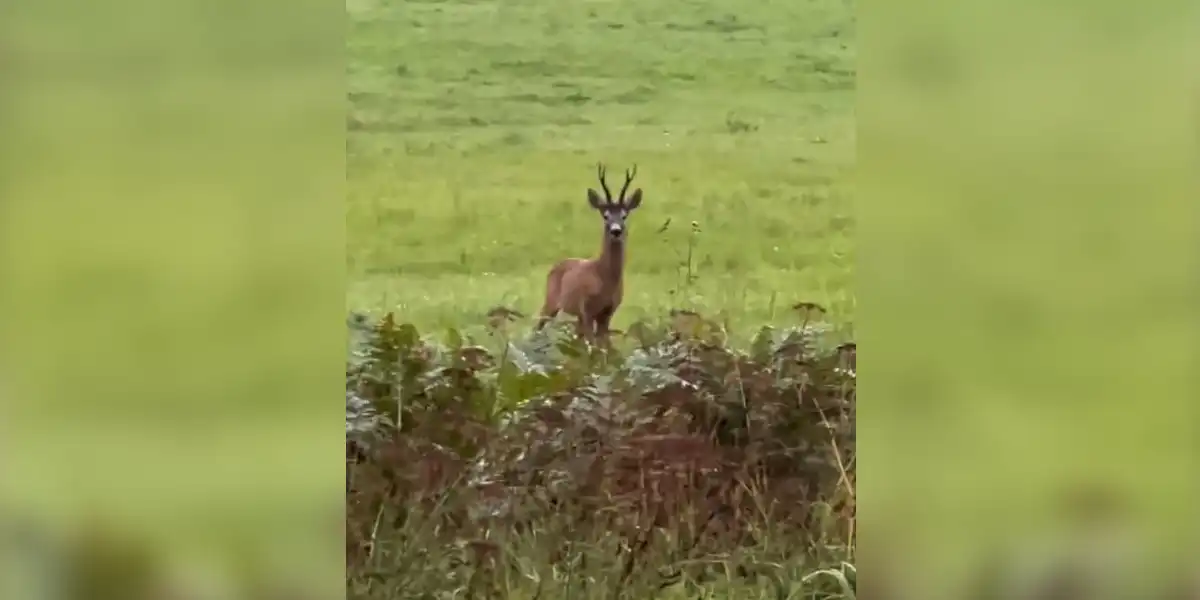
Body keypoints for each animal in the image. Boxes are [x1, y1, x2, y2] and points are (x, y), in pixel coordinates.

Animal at [537, 163, 643, 343]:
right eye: (605, 215)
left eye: (624, 215)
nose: (616, 231)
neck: (604, 278)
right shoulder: (586, 308)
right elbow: (592, 344)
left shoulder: (608, 312)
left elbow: (603, 345)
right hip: (551, 302)